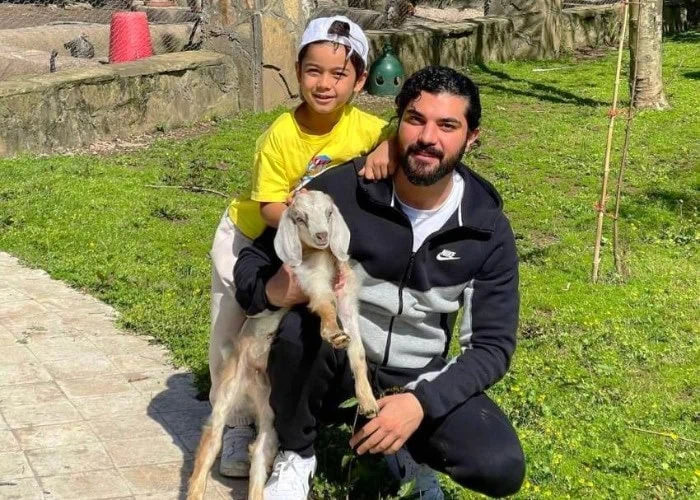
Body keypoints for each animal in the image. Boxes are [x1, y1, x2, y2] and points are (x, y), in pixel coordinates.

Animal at [188, 190, 380, 500]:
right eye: (300, 218)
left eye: (329, 213)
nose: (322, 236)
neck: (323, 259)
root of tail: (252, 384)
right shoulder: (310, 282)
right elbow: (324, 307)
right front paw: (333, 335)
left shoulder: (347, 300)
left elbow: (358, 352)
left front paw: (369, 403)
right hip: (227, 392)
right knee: (209, 444)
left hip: (270, 414)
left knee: (258, 456)